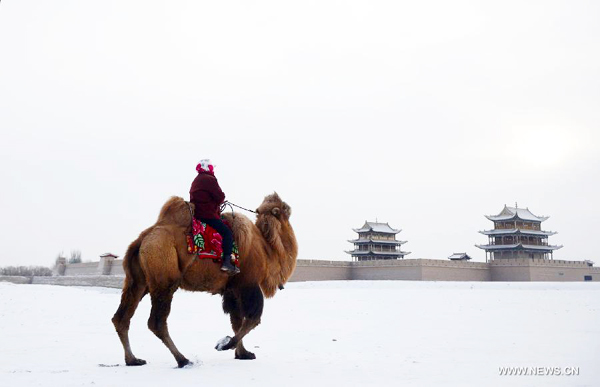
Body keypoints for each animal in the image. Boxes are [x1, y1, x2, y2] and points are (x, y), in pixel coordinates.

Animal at [110, 192, 298, 368]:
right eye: (283, 208)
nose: (289, 206)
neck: (267, 249)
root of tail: (142, 240)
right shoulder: (248, 283)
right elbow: (252, 319)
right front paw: (226, 344)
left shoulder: (231, 289)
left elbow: (236, 321)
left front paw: (243, 353)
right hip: (164, 280)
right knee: (156, 322)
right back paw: (183, 360)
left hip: (138, 282)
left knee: (121, 318)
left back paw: (133, 359)